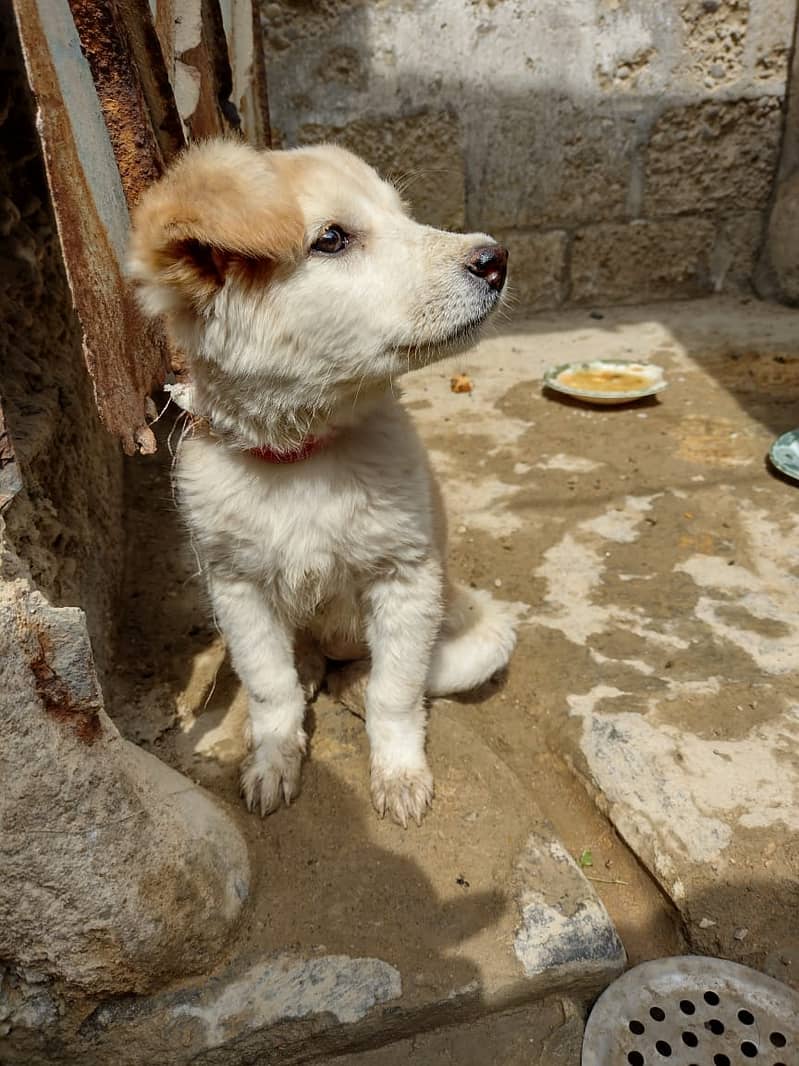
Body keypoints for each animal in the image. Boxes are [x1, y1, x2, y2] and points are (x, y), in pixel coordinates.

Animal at [129, 139, 519, 822]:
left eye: (402, 215)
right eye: (332, 239)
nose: (494, 259)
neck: (301, 457)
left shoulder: (407, 579)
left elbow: (396, 692)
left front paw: (399, 774)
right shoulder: (237, 589)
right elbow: (270, 688)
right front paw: (272, 759)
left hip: (481, 632)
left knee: (388, 676)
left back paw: (352, 683)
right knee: (298, 665)